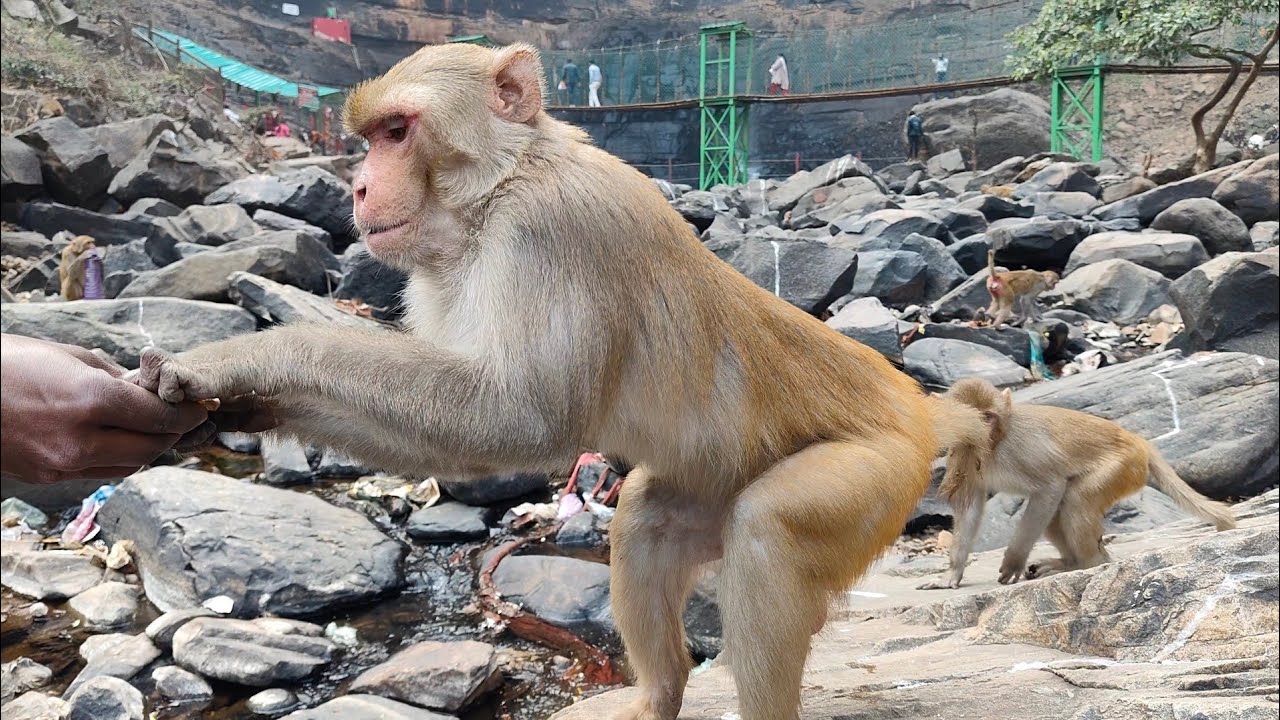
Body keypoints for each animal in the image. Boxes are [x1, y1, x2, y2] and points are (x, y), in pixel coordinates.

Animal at [131, 42, 990, 720]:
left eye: (398, 132)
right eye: (370, 140)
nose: (360, 189)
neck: (499, 187)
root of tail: (916, 408)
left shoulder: (547, 232)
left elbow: (514, 418)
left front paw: (239, 361)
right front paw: (240, 405)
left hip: (879, 472)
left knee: (769, 533)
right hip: (720, 480)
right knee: (644, 520)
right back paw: (658, 696)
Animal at [919, 378, 1236, 590]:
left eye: (988, 417)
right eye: (969, 419)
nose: (982, 432)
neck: (993, 446)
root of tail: (1136, 440)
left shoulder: (1020, 450)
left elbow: (1049, 487)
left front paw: (1013, 562)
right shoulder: (962, 453)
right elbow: (969, 504)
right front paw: (952, 574)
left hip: (1122, 466)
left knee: (1074, 500)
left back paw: (1089, 564)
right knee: (1055, 514)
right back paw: (1069, 563)